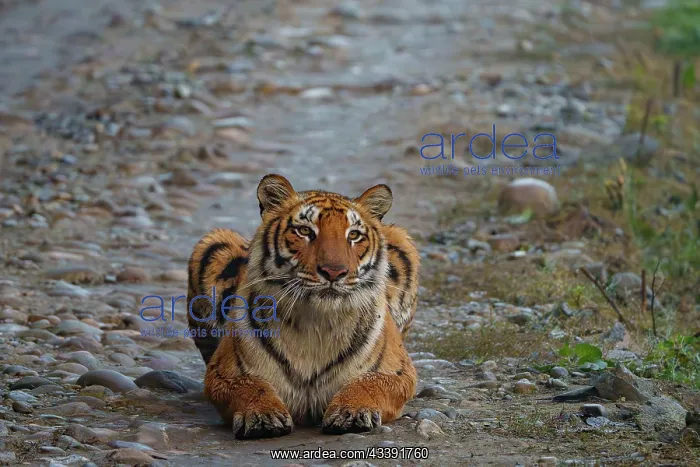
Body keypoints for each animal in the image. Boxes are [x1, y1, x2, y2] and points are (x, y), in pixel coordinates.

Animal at [186, 174, 419, 439]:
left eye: (353, 235)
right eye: (305, 231)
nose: (334, 272)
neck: (316, 322)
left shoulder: (399, 372)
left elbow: (368, 383)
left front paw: (351, 411)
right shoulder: (222, 373)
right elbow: (250, 385)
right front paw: (263, 416)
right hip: (212, 244)